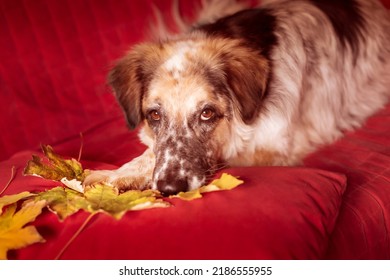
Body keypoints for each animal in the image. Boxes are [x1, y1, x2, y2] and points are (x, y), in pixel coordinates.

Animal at [85, 0, 390, 196]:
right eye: (154, 115)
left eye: (207, 113)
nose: (171, 189)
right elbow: (151, 150)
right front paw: (118, 173)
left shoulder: (274, 148)